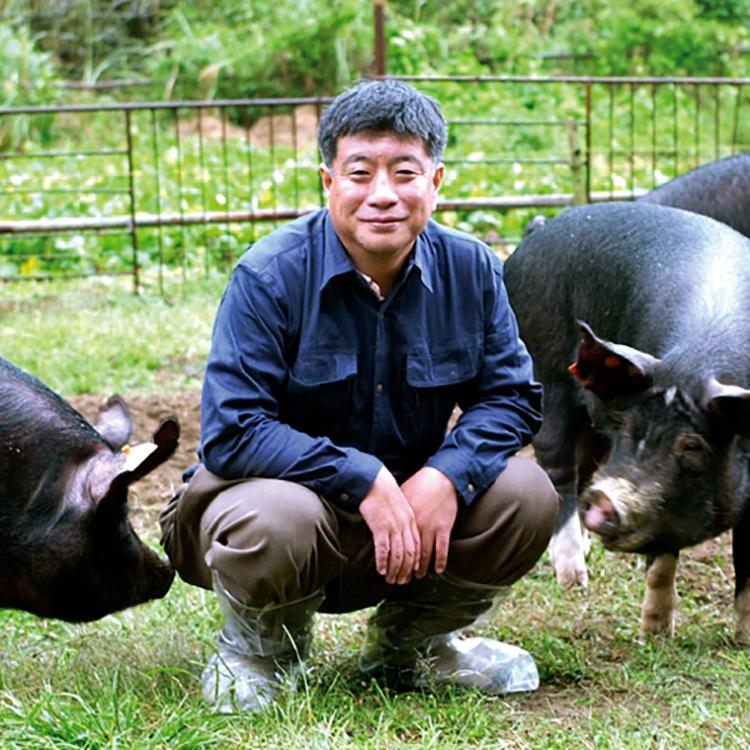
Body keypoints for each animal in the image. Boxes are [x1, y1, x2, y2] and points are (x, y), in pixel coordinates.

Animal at [506, 203, 750, 644]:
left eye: (692, 445)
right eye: (628, 426)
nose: (606, 499)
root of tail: (534, 236)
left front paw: (744, 641)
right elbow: (662, 561)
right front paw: (654, 635)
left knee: (582, 471)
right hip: (544, 371)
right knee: (557, 469)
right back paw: (574, 579)